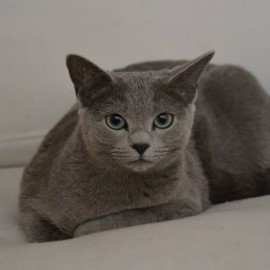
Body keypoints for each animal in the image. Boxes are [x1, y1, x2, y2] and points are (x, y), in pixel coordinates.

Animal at [19, 51, 270, 243]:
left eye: (163, 120)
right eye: (115, 121)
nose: (140, 144)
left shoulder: (186, 202)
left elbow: (112, 221)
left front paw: (80, 228)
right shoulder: (29, 196)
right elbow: (41, 232)